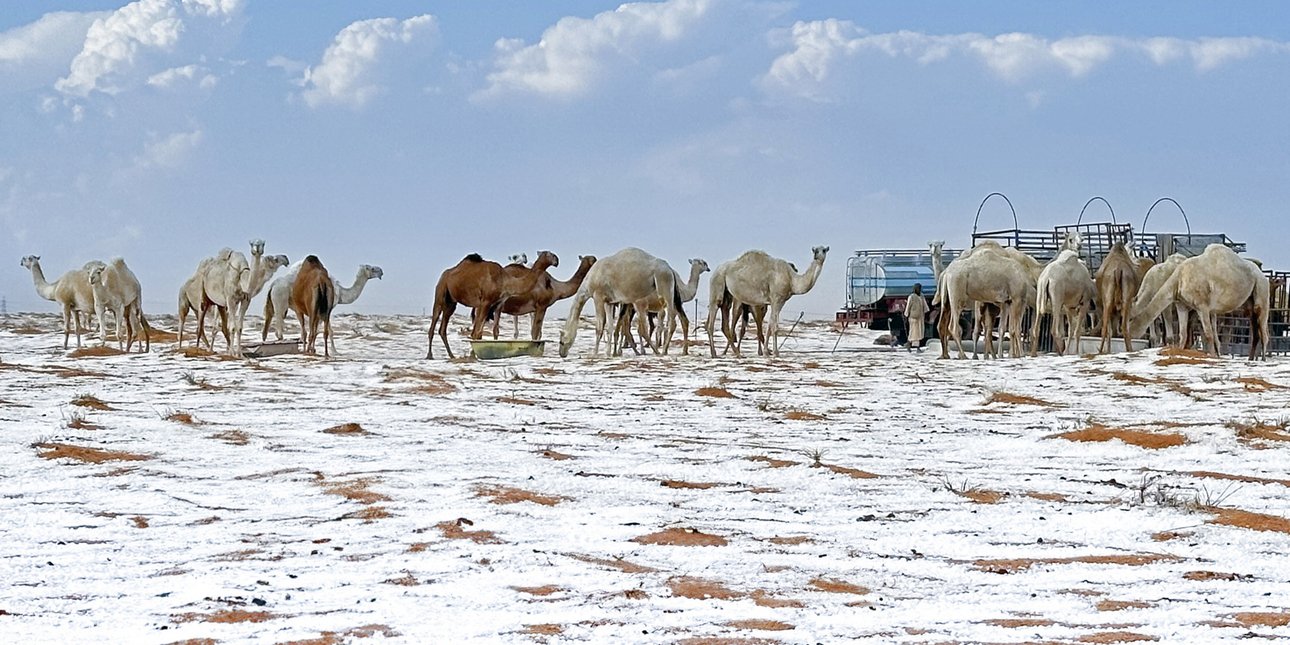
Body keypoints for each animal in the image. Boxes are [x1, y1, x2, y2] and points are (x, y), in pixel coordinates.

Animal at [559, 246, 691, 358]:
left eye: (561, 341)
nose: (562, 353)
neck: (589, 282)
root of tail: (670, 269)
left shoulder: (598, 296)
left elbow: (599, 327)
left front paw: (594, 354)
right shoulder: (609, 301)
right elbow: (610, 327)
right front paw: (608, 353)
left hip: (664, 285)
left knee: (671, 321)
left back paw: (662, 351)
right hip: (671, 291)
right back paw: (677, 351)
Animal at [1130, 243, 1269, 361]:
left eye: (1129, 321)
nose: (1127, 336)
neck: (1178, 280)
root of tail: (1262, 274)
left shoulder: (1202, 306)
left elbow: (1208, 334)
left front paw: (1212, 357)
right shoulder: (1182, 305)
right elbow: (1182, 334)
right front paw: (1179, 353)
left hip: (1261, 289)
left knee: (1263, 330)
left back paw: (1262, 359)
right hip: (1249, 302)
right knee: (1255, 329)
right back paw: (1250, 359)